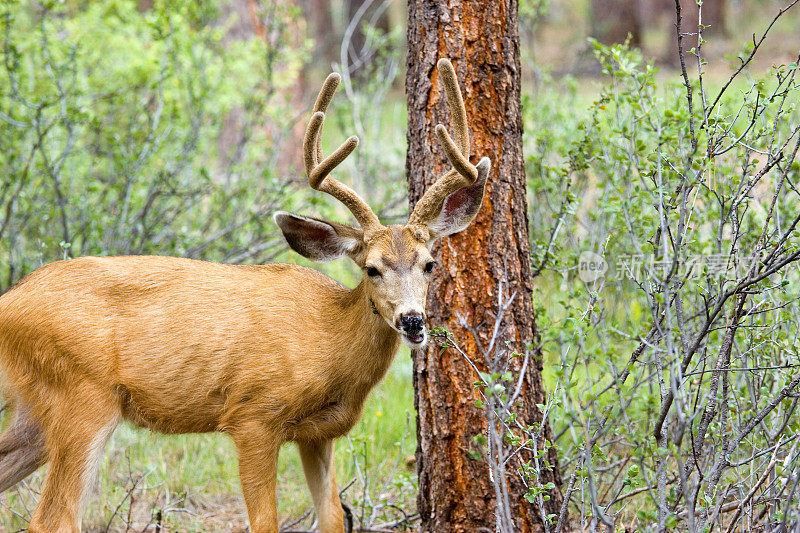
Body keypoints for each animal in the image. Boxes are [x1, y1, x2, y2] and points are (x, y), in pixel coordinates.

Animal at [0, 58, 488, 532]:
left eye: (430, 264)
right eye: (372, 268)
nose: (412, 321)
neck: (329, 343)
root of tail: (10, 303)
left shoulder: (318, 434)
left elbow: (332, 518)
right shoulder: (253, 416)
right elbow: (265, 522)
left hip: (37, 411)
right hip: (83, 395)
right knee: (53, 519)